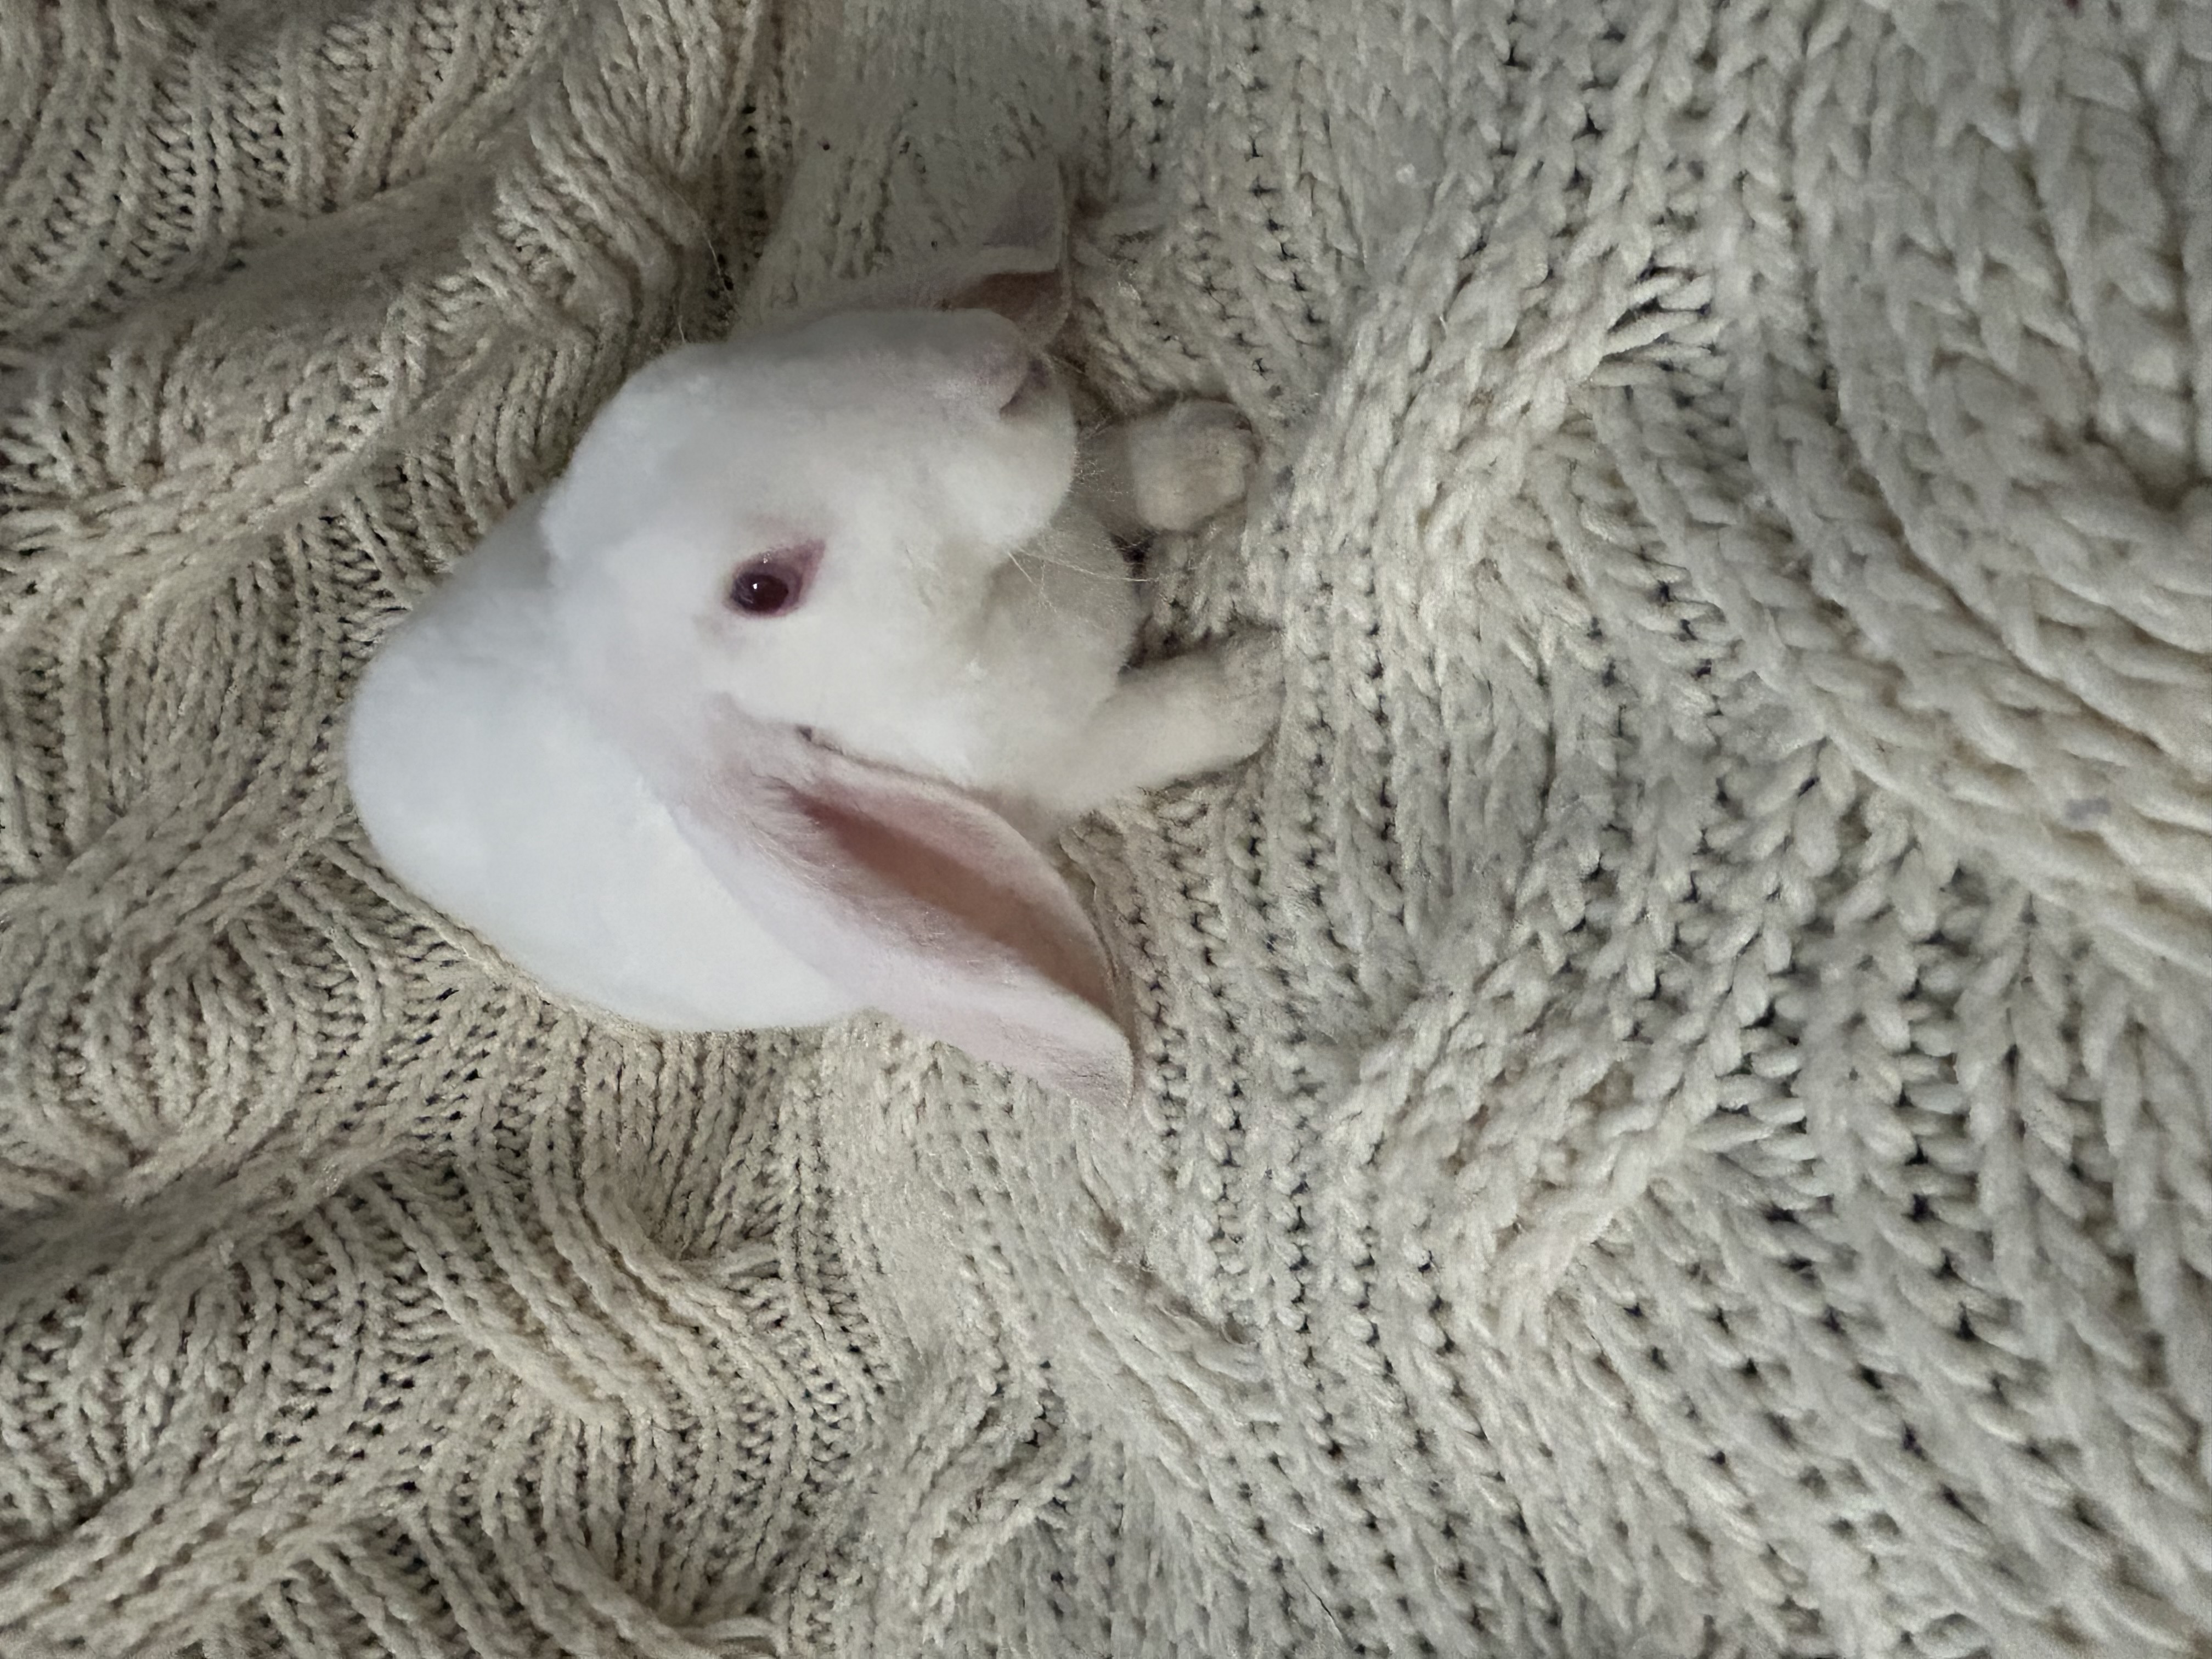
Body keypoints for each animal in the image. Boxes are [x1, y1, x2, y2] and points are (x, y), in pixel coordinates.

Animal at [344, 163, 1281, 1110]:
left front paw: (1208, 455)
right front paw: (1256, 677)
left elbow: (1107, 476)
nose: (1001, 372)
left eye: (679, 375)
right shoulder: (1053, 765)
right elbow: (1148, 726)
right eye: (765, 589)